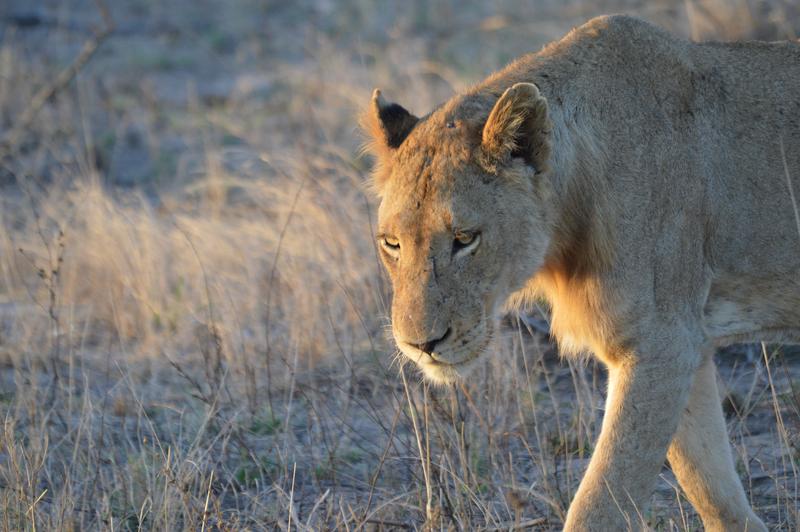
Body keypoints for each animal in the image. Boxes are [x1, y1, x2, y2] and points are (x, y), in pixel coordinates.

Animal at [366, 12, 800, 532]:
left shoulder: (661, 342)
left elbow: (600, 503)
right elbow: (710, 486)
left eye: (465, 238)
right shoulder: (687, 345)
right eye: (391, 243)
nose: (421, 345)